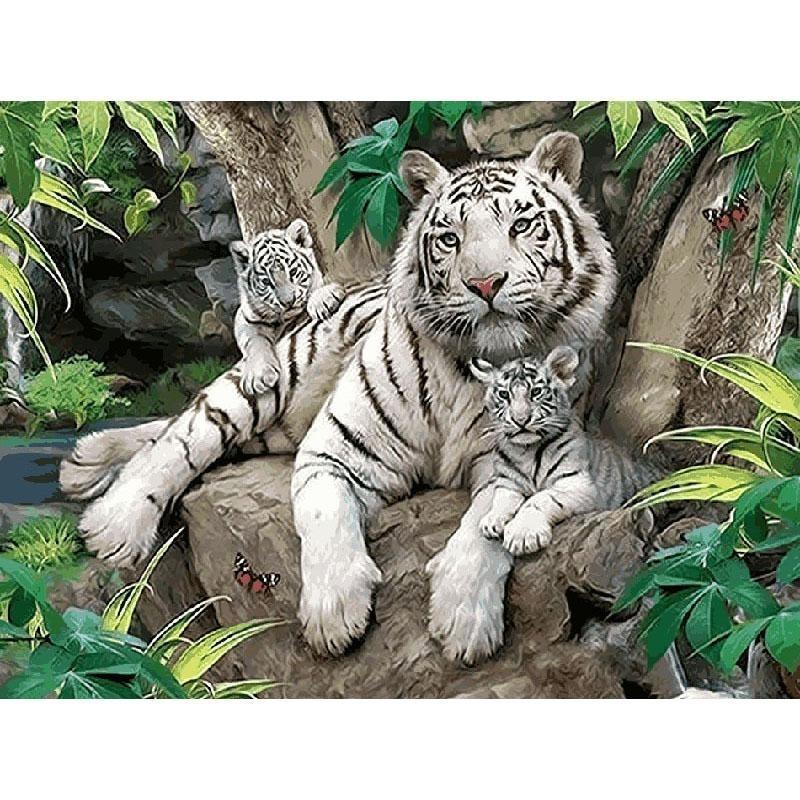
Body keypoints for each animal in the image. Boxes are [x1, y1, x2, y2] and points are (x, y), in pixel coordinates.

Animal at [229, 218, 344, 394]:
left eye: (293, 272)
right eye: (266, 282)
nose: (288, 301)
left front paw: (323, 301)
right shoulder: (245, 317)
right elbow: (254, 340)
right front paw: (259, 375)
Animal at [470, 346, 661, 556]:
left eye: (536, 392)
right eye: (504, 395)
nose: (520, 420)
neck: (526, 451)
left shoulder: (578, 484)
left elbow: (539, 499)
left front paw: (523, 535)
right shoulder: (509, 482)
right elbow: (502, 499)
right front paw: (492, 520)